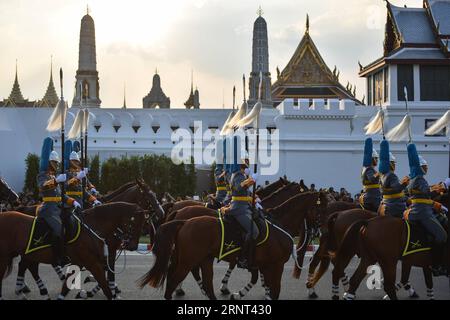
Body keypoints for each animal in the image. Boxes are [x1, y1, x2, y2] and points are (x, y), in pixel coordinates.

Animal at [0, 202, 144, 300]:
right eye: (135, 224)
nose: (133, 246)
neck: (93, 227)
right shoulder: (93, 263)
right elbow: (106, 287)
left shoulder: (81, 263)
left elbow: (65, 289)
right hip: (8, 256)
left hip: (28, 254)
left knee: (28, 267)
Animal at [137, 192, 326, 300]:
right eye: (323, 207)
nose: (321, 231)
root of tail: (182, 218)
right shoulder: (275, 265)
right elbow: (272, 290)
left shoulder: (260, 264)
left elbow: (257, 280)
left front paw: (238, 293)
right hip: (188, 260)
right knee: (178, 278)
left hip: (201, 258)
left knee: (201, 280)